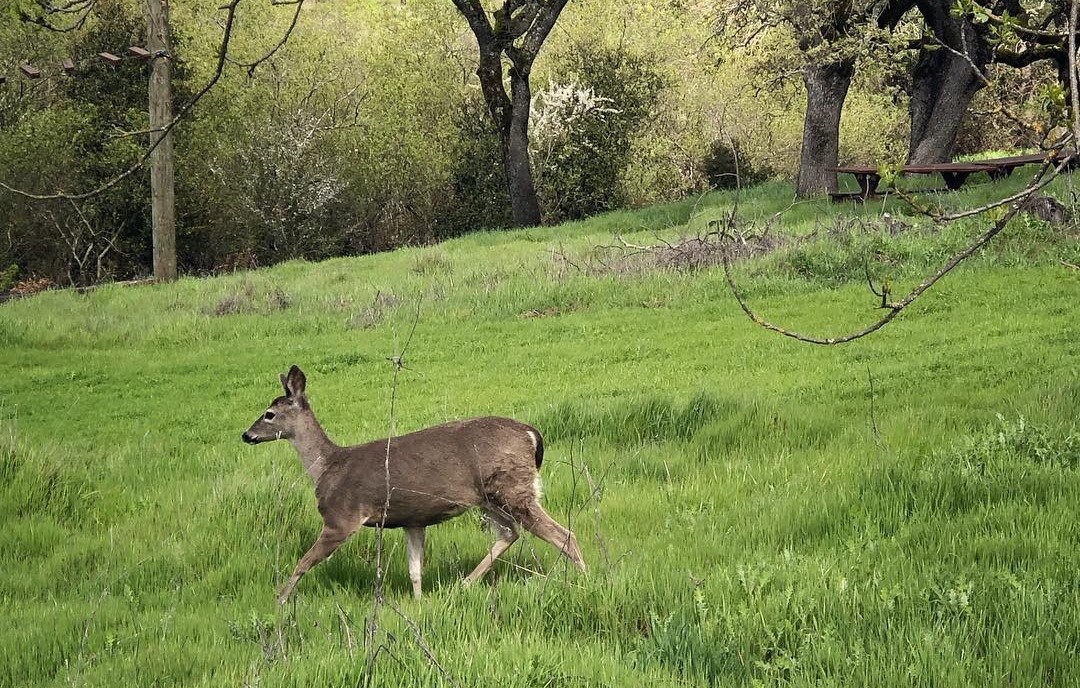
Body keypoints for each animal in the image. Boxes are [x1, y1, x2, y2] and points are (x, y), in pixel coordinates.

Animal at [241, 365, 587, 600]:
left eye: (269, 413)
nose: (246, 435)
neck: (327, 467)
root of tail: (532, 434)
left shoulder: (342, 517)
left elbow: (303, 562)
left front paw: (280, 599)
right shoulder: (413, 520)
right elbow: (415, 570)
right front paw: (419, 603)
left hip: (513, 487)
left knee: (563, 535)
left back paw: (586, 580)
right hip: (489, 497)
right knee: (510, 533)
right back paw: (465, 584)